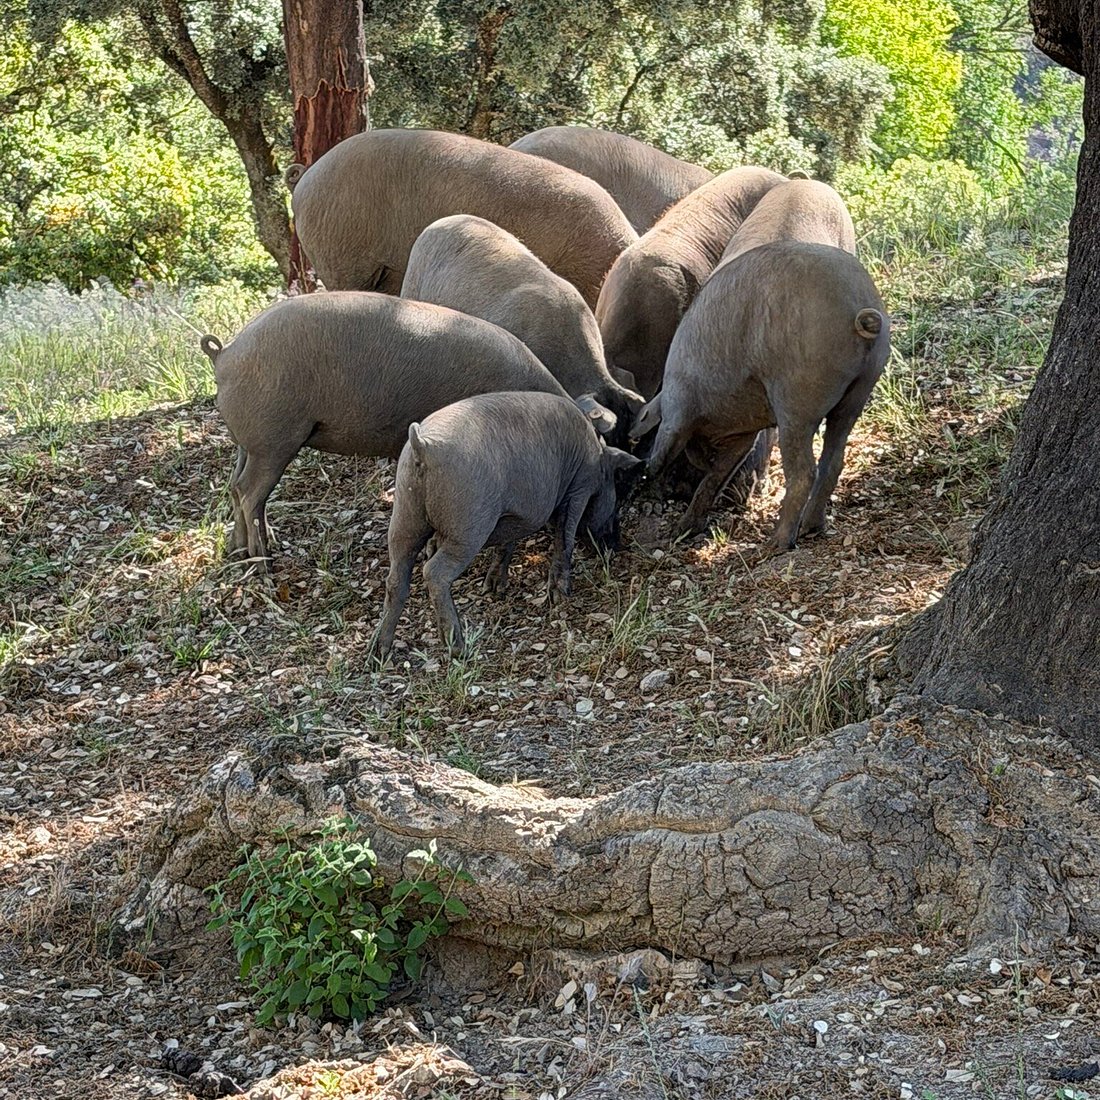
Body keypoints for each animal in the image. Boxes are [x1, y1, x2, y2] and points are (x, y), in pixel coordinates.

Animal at [200, 292, 617, 568]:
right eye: (601, 467)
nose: (609, 541)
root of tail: (224, 353)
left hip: (250, 442)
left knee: (236, 487)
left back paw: (241, 550)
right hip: (274, 439)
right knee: (249, 492)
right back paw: (263, 559)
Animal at [369, 392, 642, 660]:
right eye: (616, 492)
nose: (616, 544)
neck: (598, 460)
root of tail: (423, 447)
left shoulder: (515, 515)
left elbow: (507, 542)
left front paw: (493, 589)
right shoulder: (578, 489)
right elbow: (565, 536)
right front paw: (560, 596)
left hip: (404, 515)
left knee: (395, 578)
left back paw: (378, 654)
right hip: (468, 526)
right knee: (434, 573)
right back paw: (459, 649)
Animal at [638, 242, 890, 553]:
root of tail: (861, 309)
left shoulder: (678, 404)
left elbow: (672, 449)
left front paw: (652, 473)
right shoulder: (742, 435)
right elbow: (716, 474)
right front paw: (684, 528)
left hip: (796, 397)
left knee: (804, 471)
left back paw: (777, 543)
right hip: (859, 391)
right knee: (833, 460)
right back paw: (810, 528)